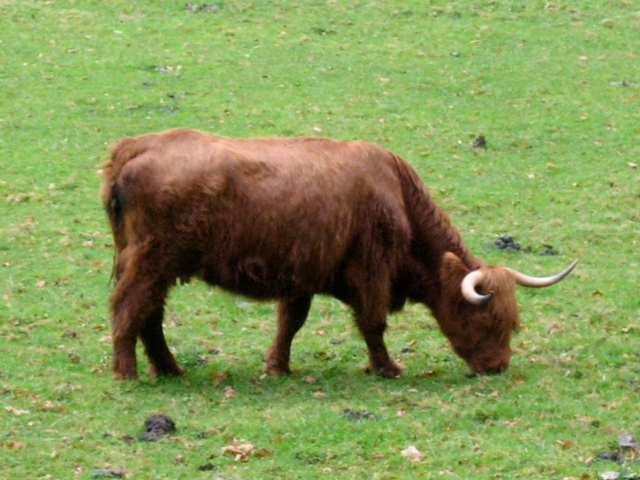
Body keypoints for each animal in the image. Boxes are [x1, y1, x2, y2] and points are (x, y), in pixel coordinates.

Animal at [101, 127, 580, 378]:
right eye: (486, 317)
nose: (497, 365)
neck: (397, 196)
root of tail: (136, 146)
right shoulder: (370, 272)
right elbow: (373, 323)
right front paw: (387, 368)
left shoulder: (300, 276)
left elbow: (290, 323)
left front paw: (278, 366)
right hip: (152, 261)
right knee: (130, 307)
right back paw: (129, 372)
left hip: (152, 264)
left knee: (150, 314)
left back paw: (169, 368)